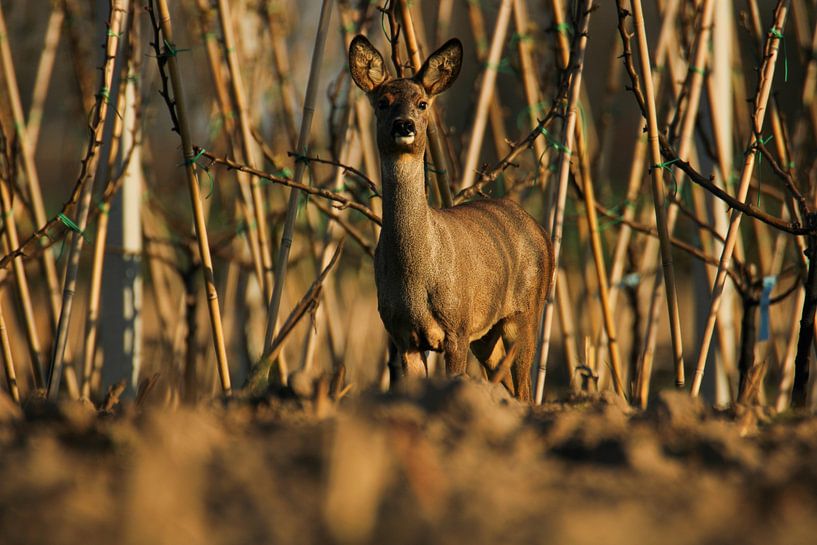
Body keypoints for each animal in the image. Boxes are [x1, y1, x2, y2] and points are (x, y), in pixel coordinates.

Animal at [349, 35, 554, 402]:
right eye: (383, 102)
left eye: (422, 103)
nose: (404, 125)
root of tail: (541, 231)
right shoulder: (402, 334)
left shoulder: (456, 327)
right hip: (486, 332)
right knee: (502, 376)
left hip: (526, 310)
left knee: (524, 388)